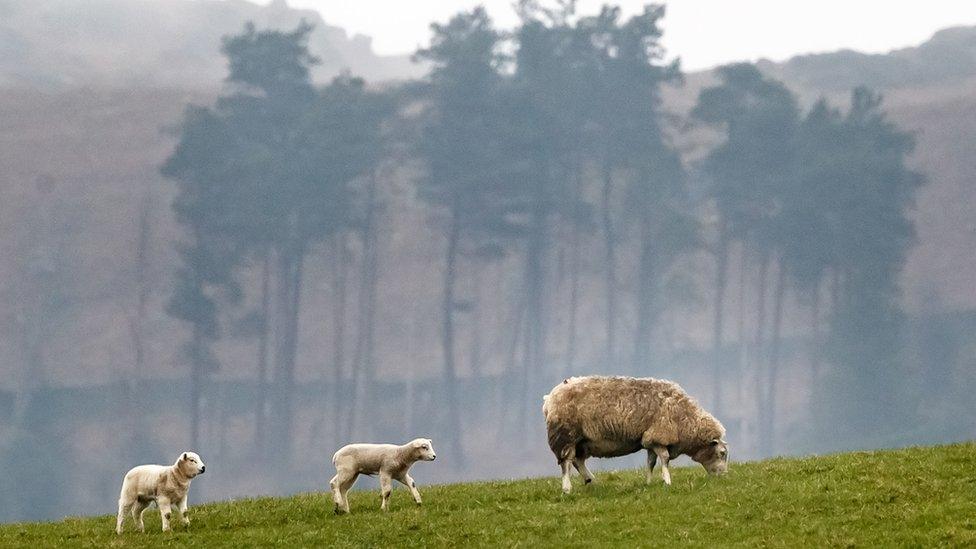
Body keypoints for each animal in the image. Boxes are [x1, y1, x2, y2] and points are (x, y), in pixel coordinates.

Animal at [544, 376, 728, 492]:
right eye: (722, 453)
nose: (723, 477)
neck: (685, 419)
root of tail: (550, 398)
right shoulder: (659, 436)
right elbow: (665, 459)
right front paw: (667, 481)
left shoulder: (650, 440)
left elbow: (651, 462)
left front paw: (649, 482)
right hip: (565, 435)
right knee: (566, 462)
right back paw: (567, 488)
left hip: (583, 441)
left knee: (578, 461)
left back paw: (591, 480)